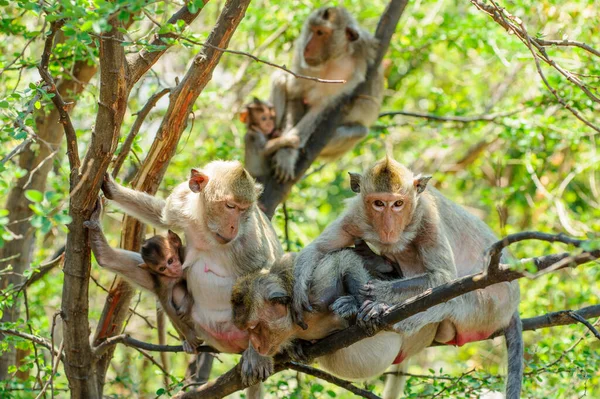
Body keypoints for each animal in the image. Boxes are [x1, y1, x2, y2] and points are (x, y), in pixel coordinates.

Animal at [101, 160, 284, 394]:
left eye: (244, 210)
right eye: (230, 206)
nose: (233, 226)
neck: (207, 227)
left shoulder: (250, 236)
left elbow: (264, 269)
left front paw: (258, 357)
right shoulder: (181, 202)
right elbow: (162, 216)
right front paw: (112, 189)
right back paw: (105, 253)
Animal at [270, 6, 384, 182]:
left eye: (320, 33)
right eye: (312, 29)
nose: (307, 48)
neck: (334, 58)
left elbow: (321, 107)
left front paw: (287, 152)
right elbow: (295, 95)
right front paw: (286, 153)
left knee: (360, 131)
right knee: (280, 78)